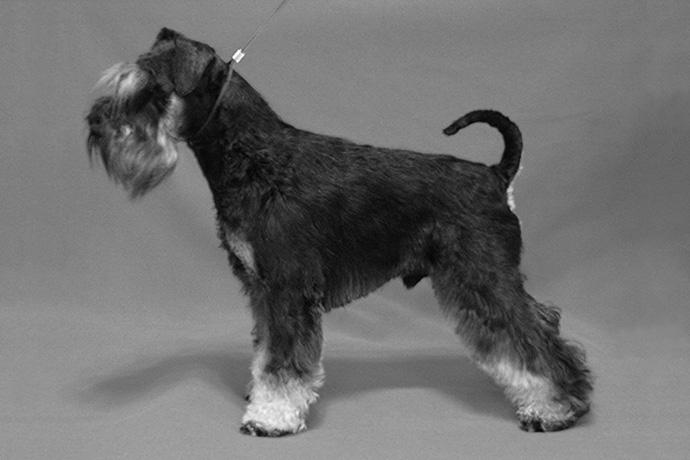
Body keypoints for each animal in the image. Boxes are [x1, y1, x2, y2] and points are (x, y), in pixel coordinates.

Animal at [86, 28, 592, 436]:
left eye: (149, 89)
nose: (95, 123)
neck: (254, 158)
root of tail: (496, 175)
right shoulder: (262, 291)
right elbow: (266, 352)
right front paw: (261, 396)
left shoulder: (288, 290)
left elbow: (284, 364)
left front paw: (270, 418)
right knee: (541, 323)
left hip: (483, 278)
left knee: (535, 339)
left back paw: (555, 409)